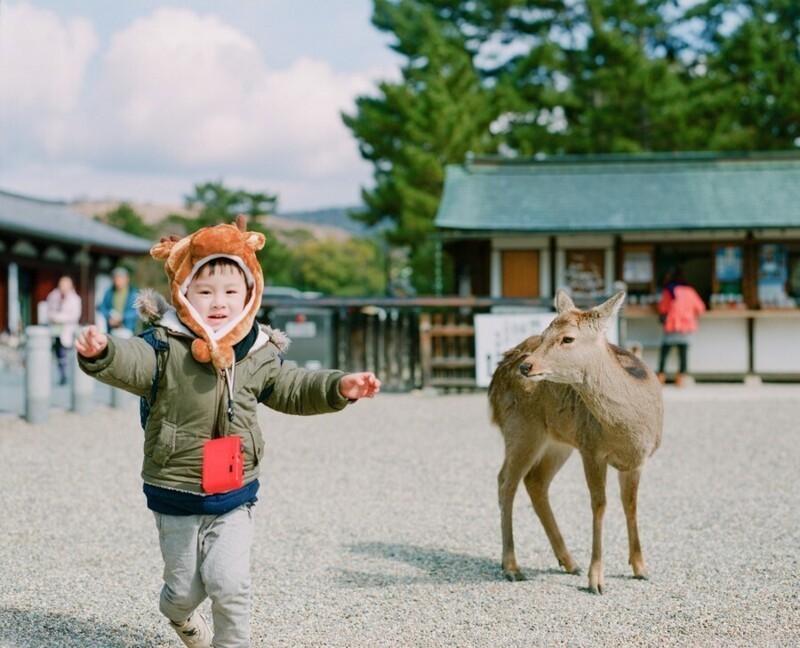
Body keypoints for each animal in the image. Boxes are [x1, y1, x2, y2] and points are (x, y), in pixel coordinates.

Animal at [488, 292, 664, 596]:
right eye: (545, 333)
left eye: (567, 338)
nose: (526, 366)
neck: (631, 431)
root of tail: (499, 370)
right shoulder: (591, 448)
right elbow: (599, 505)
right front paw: (597, 580)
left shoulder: (638, 459)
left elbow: (631, 504)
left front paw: (641, 568)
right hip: (521, 428)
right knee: (506, 481)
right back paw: (511, 567)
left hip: (558, 441)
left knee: (535, 481)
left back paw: (569, 562)